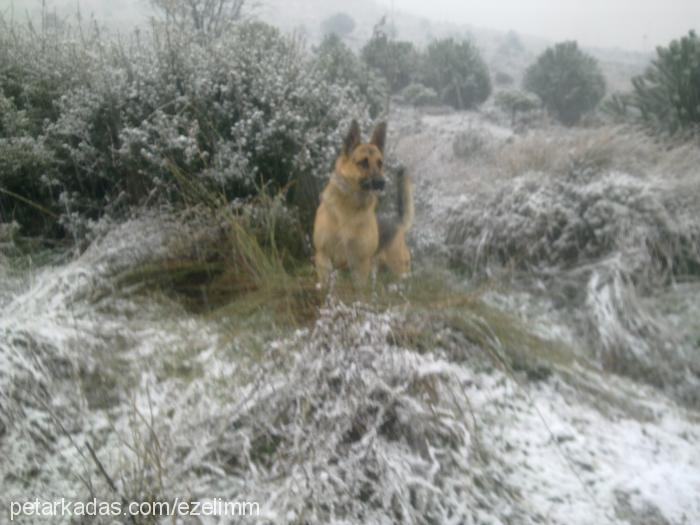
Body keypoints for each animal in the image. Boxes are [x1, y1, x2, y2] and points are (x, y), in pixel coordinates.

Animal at [310, 118, 410, 284]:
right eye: (363, 162)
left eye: (380, 163)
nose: (382, 182)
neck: (348, 206)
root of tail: (397, 222)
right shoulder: (323, 257)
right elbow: (326, 285)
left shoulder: (360, 264)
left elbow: (359, 289)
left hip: (398, 271)